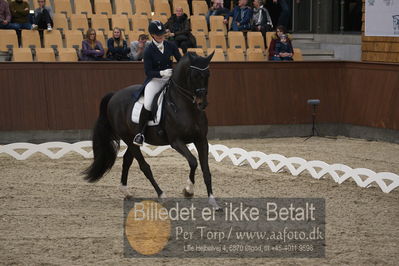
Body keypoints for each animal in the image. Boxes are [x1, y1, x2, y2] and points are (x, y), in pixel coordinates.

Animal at [83, 52, 222, 209]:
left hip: (131, 140)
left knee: (127, 160)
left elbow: (206, 170)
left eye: (208, 74)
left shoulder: (201, 140)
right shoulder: (176, 142)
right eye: (194, 75)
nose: (202, 103)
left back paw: (126, 192)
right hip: (128, 139)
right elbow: (193, 162)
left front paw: (213, 201)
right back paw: (161, 195)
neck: (186, 107)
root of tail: (114, 95)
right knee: (144, 167)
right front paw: (188, 191)